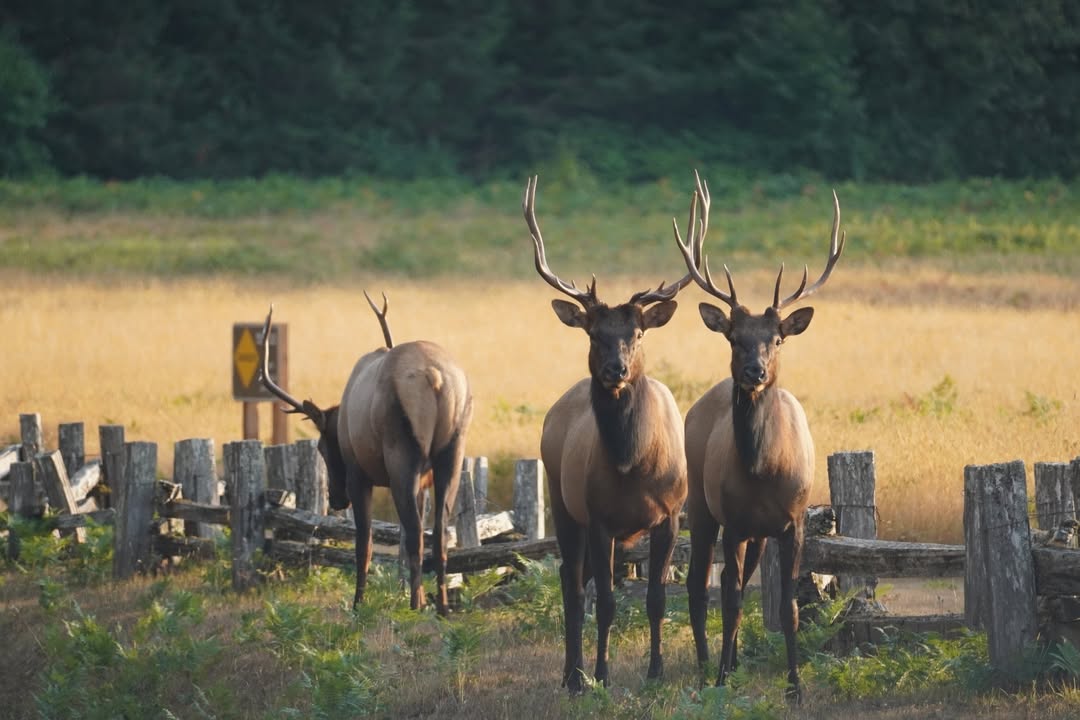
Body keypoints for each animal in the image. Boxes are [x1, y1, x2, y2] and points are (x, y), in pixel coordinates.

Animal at [257, 291, 473, 616]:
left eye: (322, 447)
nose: (335, 497)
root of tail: (435, 378)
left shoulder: (358, 475)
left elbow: (364, 543)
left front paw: (358, 603)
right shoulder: (424, 482)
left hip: (401, 454)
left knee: (414, 532)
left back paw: (414, 605)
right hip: (453, 450)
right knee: (438, 532)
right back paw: (441, 607)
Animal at [522, 174, 706, 693]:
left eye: (637, 334)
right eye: (593, 333)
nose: (615, 369)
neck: (632, 464)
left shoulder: (671, 516)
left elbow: (656, 599)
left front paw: (655, 673)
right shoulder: (600, 517)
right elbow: (604, 603)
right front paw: (601, 676)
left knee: (578, 580)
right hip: (562, 502)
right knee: (570, 581)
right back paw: (572, 675)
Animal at [674, 184, 845, 703]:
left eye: (778, 339)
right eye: (733, 337)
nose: (755, 370)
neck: (763, 470)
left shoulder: (792, 523)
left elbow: (788, 608)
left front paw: (795, 686)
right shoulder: (733, 521)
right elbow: (729, 603)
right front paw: (721, 682)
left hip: (756, 534)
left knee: (737, 582)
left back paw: (728, 664)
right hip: (703, 506)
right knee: (702, 586)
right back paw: (709, 668)